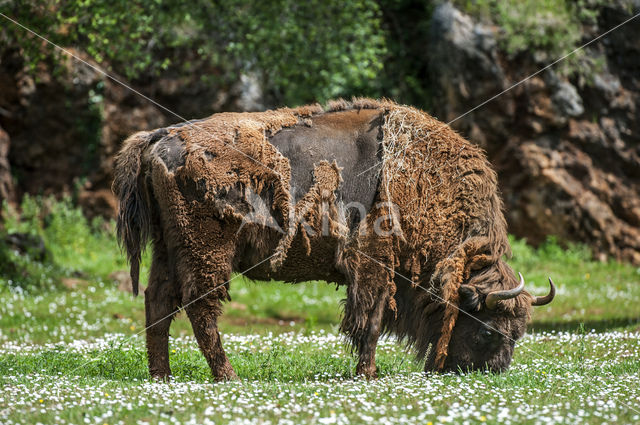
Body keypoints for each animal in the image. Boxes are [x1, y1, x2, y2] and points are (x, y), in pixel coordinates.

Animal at [112, 98, 552, 378]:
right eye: (489, 329)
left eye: (520, 332)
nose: (492, 372)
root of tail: (159, 137)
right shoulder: (376, 266)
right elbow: (371, 320)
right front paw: (368, 373)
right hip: (206, 251)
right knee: (200, 306)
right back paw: (227, 376)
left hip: (167, 250)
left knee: (159, 300)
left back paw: (162, 376)